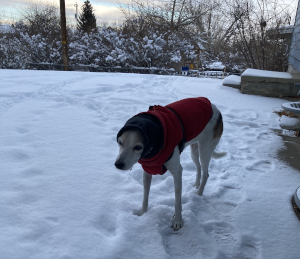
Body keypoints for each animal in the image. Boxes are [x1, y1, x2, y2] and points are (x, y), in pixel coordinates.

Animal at [114, 98, 225, 232]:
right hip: (194, 151)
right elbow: (145, 197)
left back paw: (199, 194)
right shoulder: (147, 172)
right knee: (198, 167)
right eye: (120, 142)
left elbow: (177, 201)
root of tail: (216, 109)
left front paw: (178, 221)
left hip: (205, 150)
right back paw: (196, 185)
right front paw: (142, 215)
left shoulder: (177, 171)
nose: (118, 164)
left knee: (206, 173)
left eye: (138, 147)